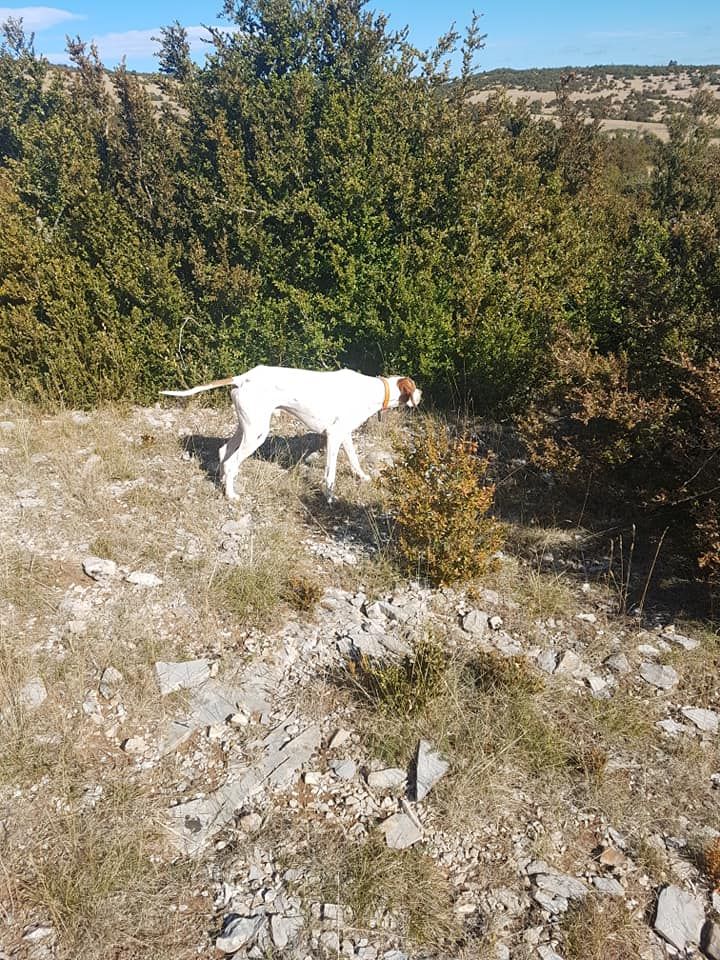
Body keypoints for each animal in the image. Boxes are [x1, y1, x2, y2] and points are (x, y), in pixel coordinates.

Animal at [160, 366, 420, 502]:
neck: (373, 390)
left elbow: (355, 460)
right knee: (232, 462)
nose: (422, 395)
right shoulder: (334, 436)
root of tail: (243, 377)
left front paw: (363, 477)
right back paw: (231, 495)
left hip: (247, 427)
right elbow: (330, 474)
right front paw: (329, 497)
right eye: (415, 387)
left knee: (225, 452)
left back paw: (225, 484)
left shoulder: (344, 435)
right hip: (257, 433)